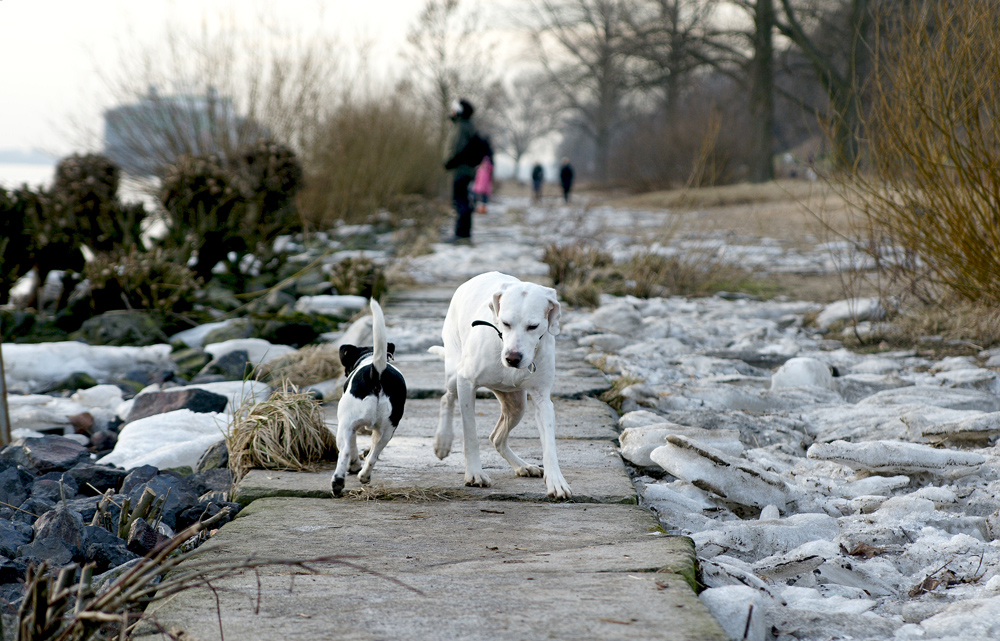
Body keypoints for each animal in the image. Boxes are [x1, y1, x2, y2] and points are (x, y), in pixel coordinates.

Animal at [330, 298, 404, 498]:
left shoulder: (349, 426)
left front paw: (354, 465)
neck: (369, 358)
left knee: (345, 452)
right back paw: (362, 476)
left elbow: (352, 447)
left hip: (345, 424)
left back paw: (340, 481)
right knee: (374, 454)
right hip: (387, 430)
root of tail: (376, 373)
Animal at [428, 270, 572, 500]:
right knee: (446, 398)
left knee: (496, 438)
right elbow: (470, 434)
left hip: (516, 405)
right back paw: (443, 441)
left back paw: (522, 465)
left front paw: (556, 481)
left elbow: (549, 443)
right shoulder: (466, 382)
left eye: (533, 326)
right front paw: (475, 473)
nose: (513, 358)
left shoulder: (543, 399)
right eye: (505, 323)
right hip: (453, 371)